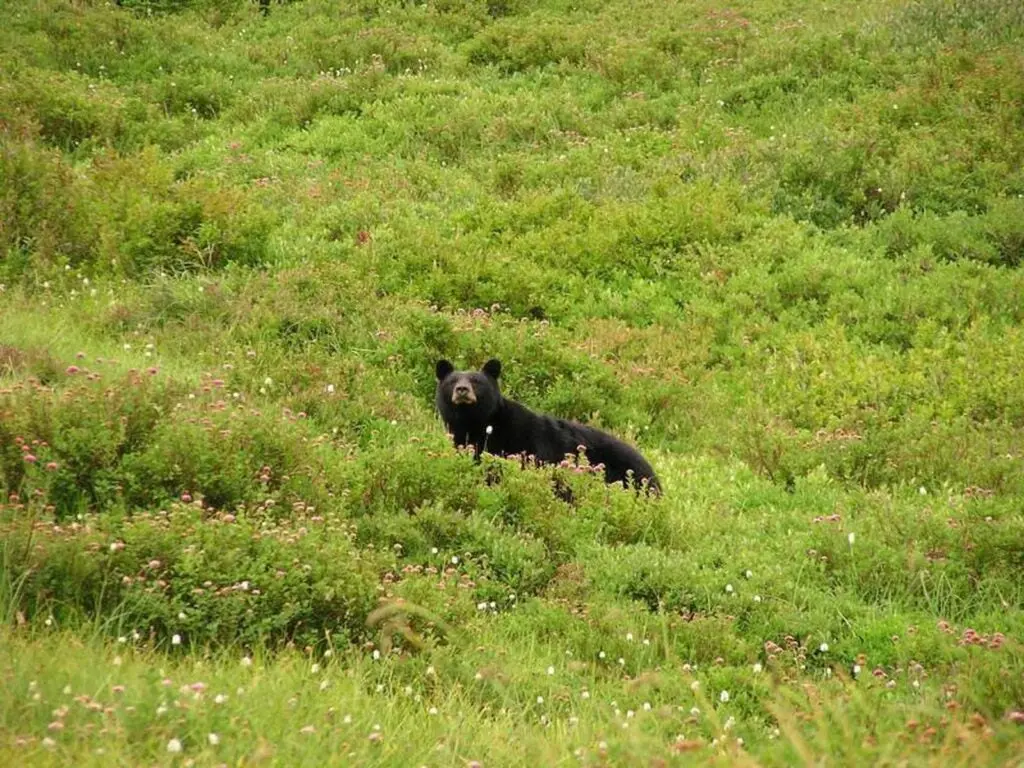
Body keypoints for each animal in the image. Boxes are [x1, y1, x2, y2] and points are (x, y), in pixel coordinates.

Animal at [434, 360, 663, 493]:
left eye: (476, 381)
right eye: (452, 381)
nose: (462, 390)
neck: (478, 424)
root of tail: (651, 470)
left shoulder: (523, 442)